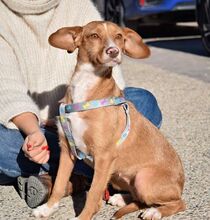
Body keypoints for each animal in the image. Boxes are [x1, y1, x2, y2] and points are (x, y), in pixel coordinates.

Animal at [32, 21, 185, 220]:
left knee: (178, 203)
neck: (87, 87)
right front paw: (48, 208)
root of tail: (181, 184)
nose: (114, 51)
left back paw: (155, 211)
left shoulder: (103, 157)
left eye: (119, 36)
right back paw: (121, 198)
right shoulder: (67, 150)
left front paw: (83, 217)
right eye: (94, 36)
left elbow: (93, 195)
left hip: (144, 179)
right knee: (139, 198)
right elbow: (58, 184)